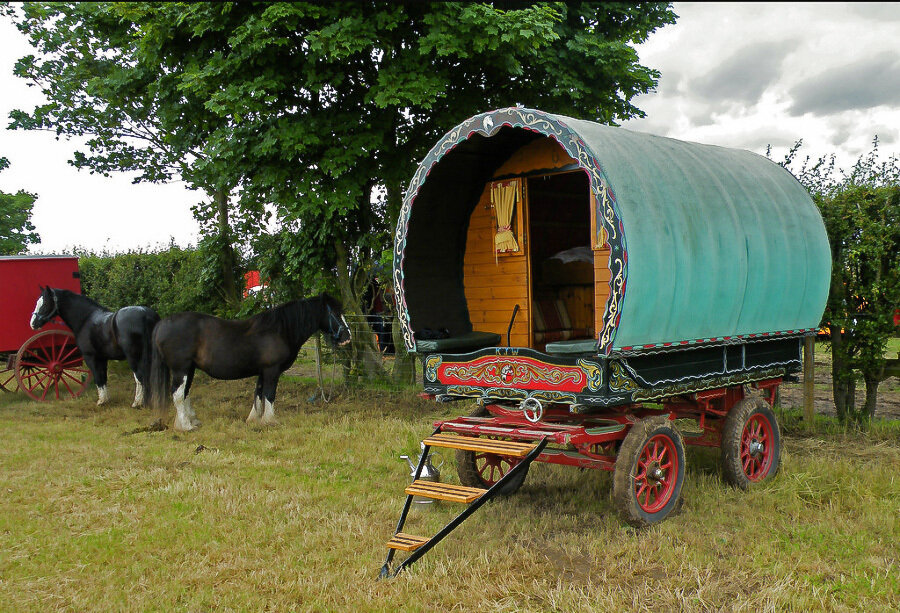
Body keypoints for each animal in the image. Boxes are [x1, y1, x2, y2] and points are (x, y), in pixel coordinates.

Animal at [29, 286, 163, 406]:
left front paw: (101, 401)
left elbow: (98, 378)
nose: (33, 324)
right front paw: (106, 399)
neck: (86, 319)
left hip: (134, 357)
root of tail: (145, 314)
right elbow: (103, 378)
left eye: (45, 304)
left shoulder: (91, 357)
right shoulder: (102, 358)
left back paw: (138, 403)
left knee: (140, 377)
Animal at [151, 292, 352, 430]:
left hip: (189, 369)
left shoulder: (263, 371)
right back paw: (186, 426)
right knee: (178, 394)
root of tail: (161, 325)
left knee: (184, 393)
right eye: (335, 312)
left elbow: (259, 393)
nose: (347, 337)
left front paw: (254, 419)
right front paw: (270, 421)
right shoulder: (272, 370)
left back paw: (189, 421)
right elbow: (269, 394)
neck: (278, 330)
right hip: (181, 368)